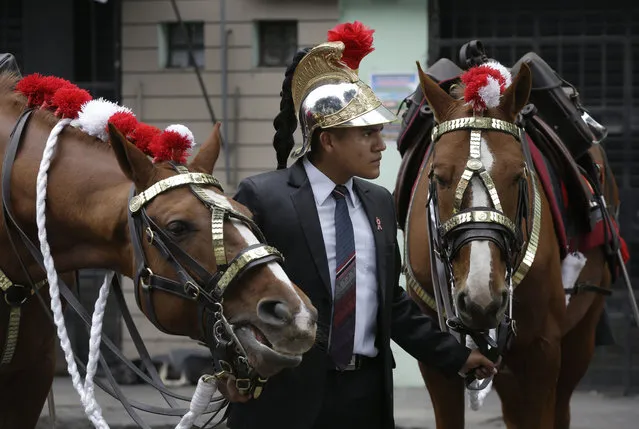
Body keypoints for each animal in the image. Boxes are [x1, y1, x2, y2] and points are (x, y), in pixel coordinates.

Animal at [404, 61, 624, 426]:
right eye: (438, 177)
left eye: (519, 175)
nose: (481, 299)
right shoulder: (438, 358)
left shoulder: (542, 351)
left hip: (579, 336)